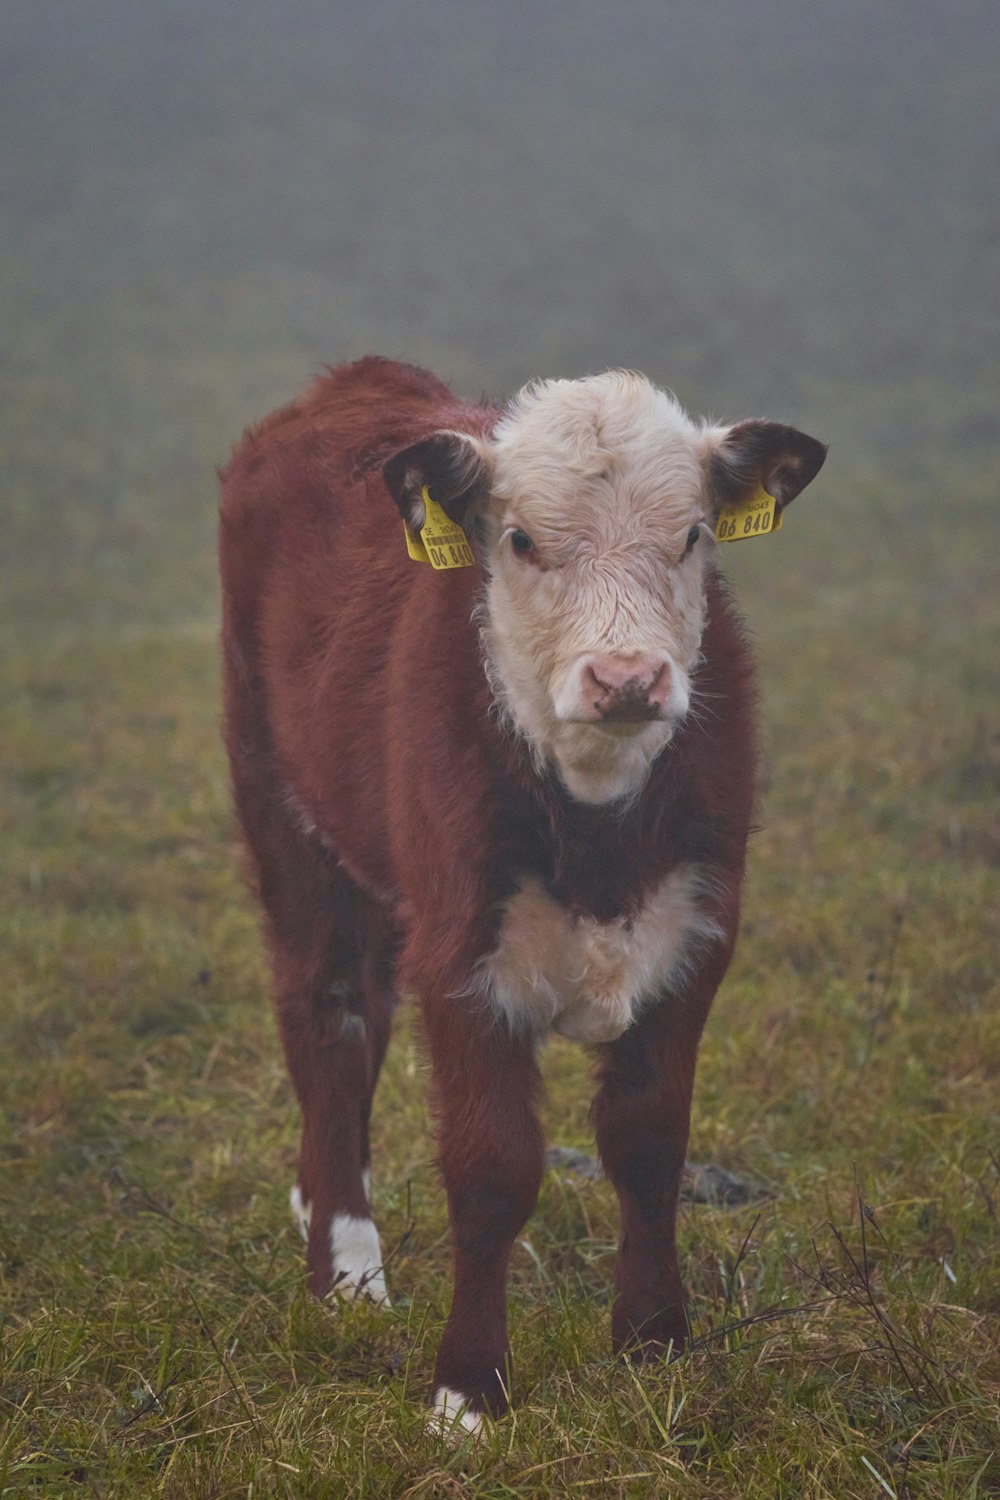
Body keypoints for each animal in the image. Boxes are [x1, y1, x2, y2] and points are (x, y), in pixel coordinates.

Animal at [220, 357, 827, 1434]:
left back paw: (321, 1206)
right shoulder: (466, 957)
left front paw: (655, 1346)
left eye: (692, 535)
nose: (626, 677)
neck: (597, 827)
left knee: (364, 1017)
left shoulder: (695, 936)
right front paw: (467, 1389)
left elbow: (648, 1146)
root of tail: (354, 379)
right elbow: (493, 1170)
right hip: (284, 815)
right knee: (328, 1017)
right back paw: (346, 1266)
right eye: (520, 540)